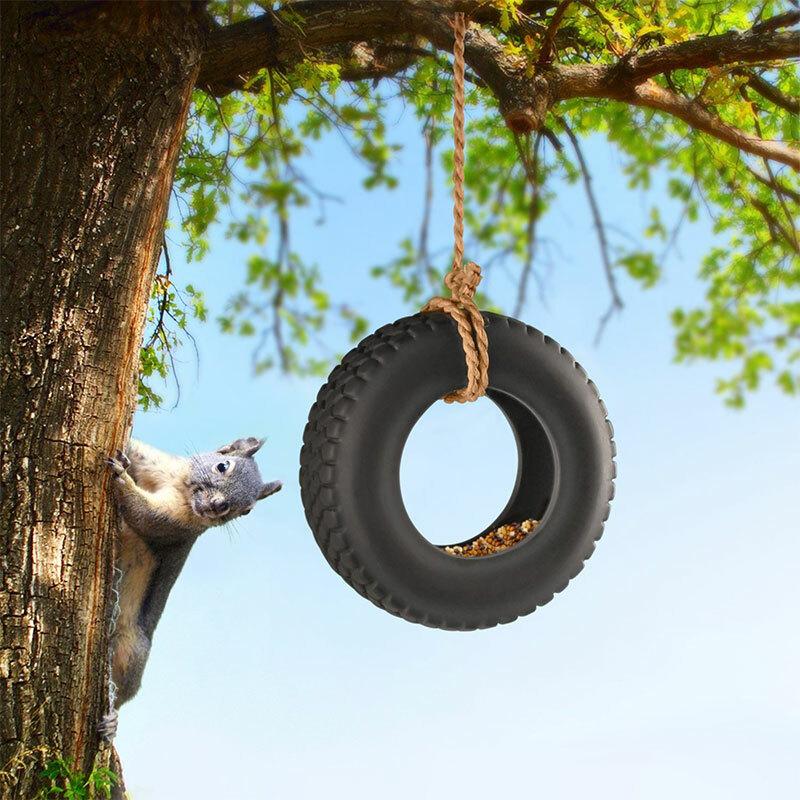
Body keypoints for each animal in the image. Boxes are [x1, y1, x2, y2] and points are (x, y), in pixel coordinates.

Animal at [97, 438, 282, 736]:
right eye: (222, 465)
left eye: (246, 510)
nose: (219, 506)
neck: (180, 486)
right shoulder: (159, 465)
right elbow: (138, 453)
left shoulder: (176, 524)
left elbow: (144, 515)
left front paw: (121, 479)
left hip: (131, 648)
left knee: (124, 692)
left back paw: (112, 721)